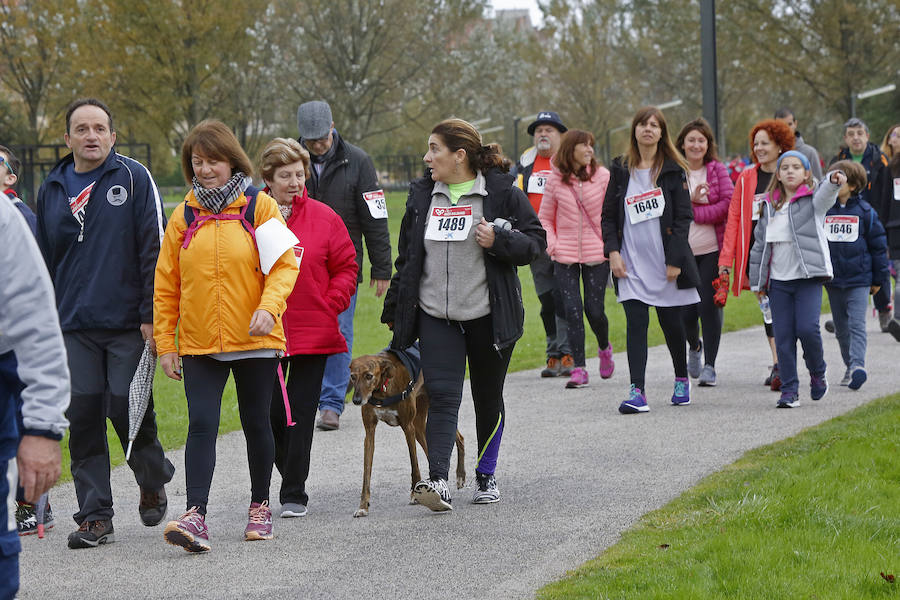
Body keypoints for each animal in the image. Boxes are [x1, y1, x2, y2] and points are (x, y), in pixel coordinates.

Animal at [348, 352, 468, 516]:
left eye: (369, 375)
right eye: (353, 376)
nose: (356, 400)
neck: (383, 389)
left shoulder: (408, 428)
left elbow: (414, 465)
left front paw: (415, 496)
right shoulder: (370, 433)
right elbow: (366, 474)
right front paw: (363, 506)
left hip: (430, 413)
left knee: (460, 438)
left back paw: (460, 476)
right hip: (419, 427)